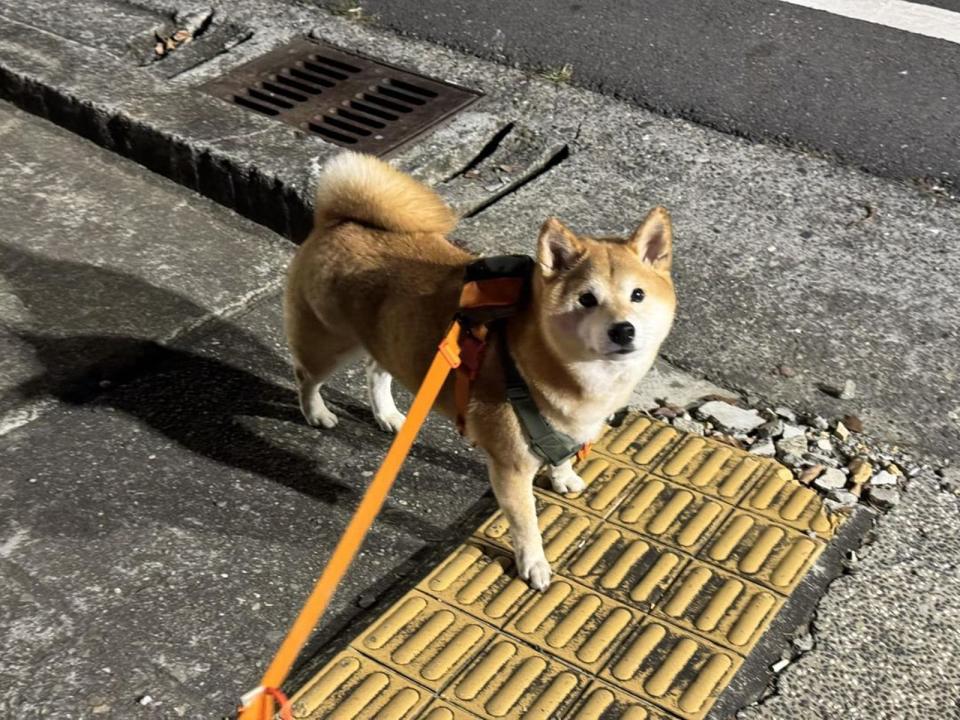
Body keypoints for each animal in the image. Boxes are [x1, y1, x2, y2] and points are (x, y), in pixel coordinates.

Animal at [284, 152, 676, 592]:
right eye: (586, 299)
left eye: (638, 295)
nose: (623, 329)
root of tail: (338, 221)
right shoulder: (511, 468)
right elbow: (526, 525)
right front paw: (534, 564)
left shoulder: (566, 431)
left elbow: (561, 459)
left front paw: (564, 477)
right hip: (330, 344)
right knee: (305, 375)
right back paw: (316, 412)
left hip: (385, 340)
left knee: (375, 371)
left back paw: (386, 414)